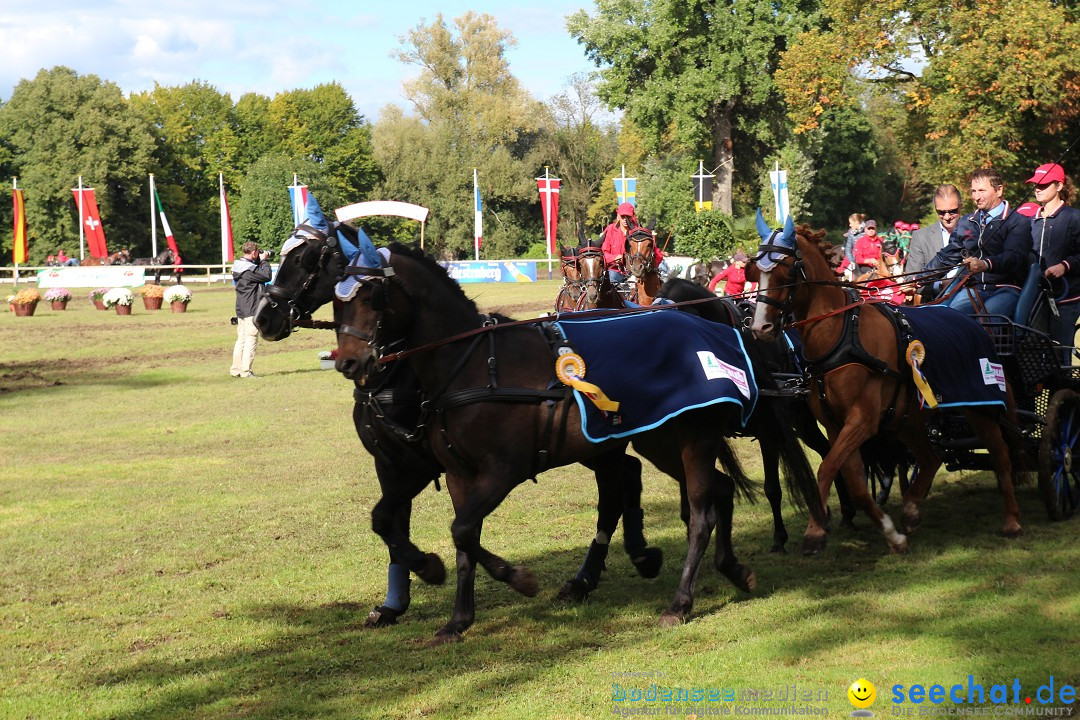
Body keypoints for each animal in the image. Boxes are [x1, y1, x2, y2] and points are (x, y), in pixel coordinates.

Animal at [747, 216, 1023, 557]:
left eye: (785, 273)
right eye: (755, 272)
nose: (760, 327)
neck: (842, 333)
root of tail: (972, 321)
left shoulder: (862, 420)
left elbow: (827, 468)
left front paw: (814, 531)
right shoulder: (837, 425)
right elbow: (852, 481)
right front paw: (892, 535)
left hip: (980, 407)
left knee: (1001, 456)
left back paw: (1012, 519)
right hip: (908, 417)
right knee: (930, 458)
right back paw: (912, 510)